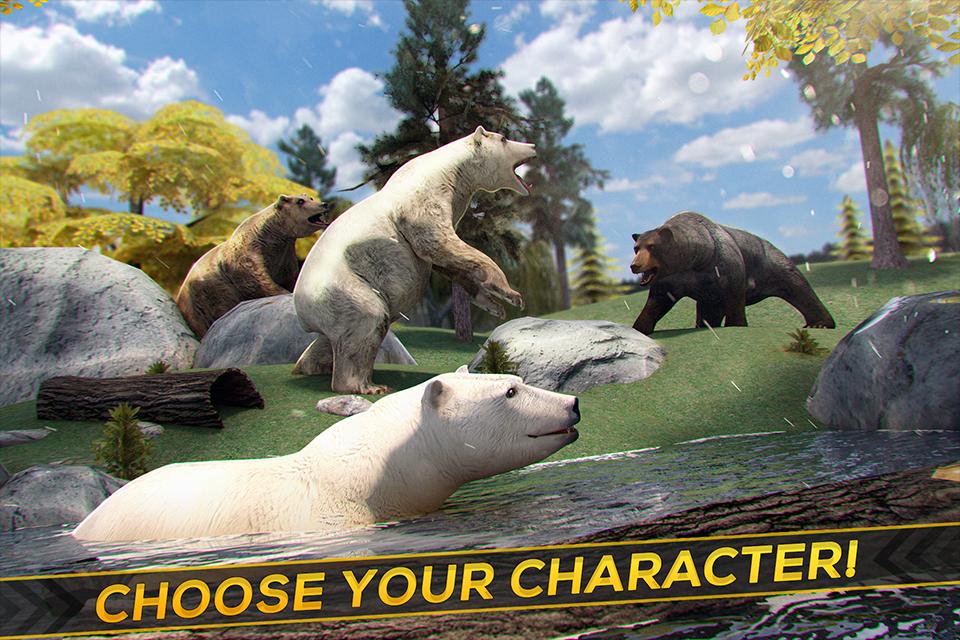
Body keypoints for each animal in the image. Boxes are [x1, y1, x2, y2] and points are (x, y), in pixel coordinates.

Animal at [176, 194, 332, 337]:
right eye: (300, 201)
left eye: (310, 198)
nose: (323, 204)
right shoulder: (247, 256)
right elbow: (258, 280)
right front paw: (286, 294)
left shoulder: (284, 258)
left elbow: (289, 277)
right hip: (207, 296)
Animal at [293, 126, 536, 394]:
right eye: (504, 138)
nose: (532, 146)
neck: (451, 171)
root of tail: (301, 310)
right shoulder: (422, 201)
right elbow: (439, 243)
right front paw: (511, 293)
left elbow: (447, 262)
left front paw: (493, 304)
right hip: (344, 287)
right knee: (368, 321)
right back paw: (365, 385)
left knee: (331, 338)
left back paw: (310, 366)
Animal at [629, 211, 835, 334]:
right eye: (636, 247)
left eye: (652, 246)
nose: (634, 265)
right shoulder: (672, 279)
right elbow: (656, 302)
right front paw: (639, 328)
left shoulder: (726, 267)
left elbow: (735, 294)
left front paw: (736, 324)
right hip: (712, 295)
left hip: (772, 263)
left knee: (797, 286)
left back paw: (820, 323)